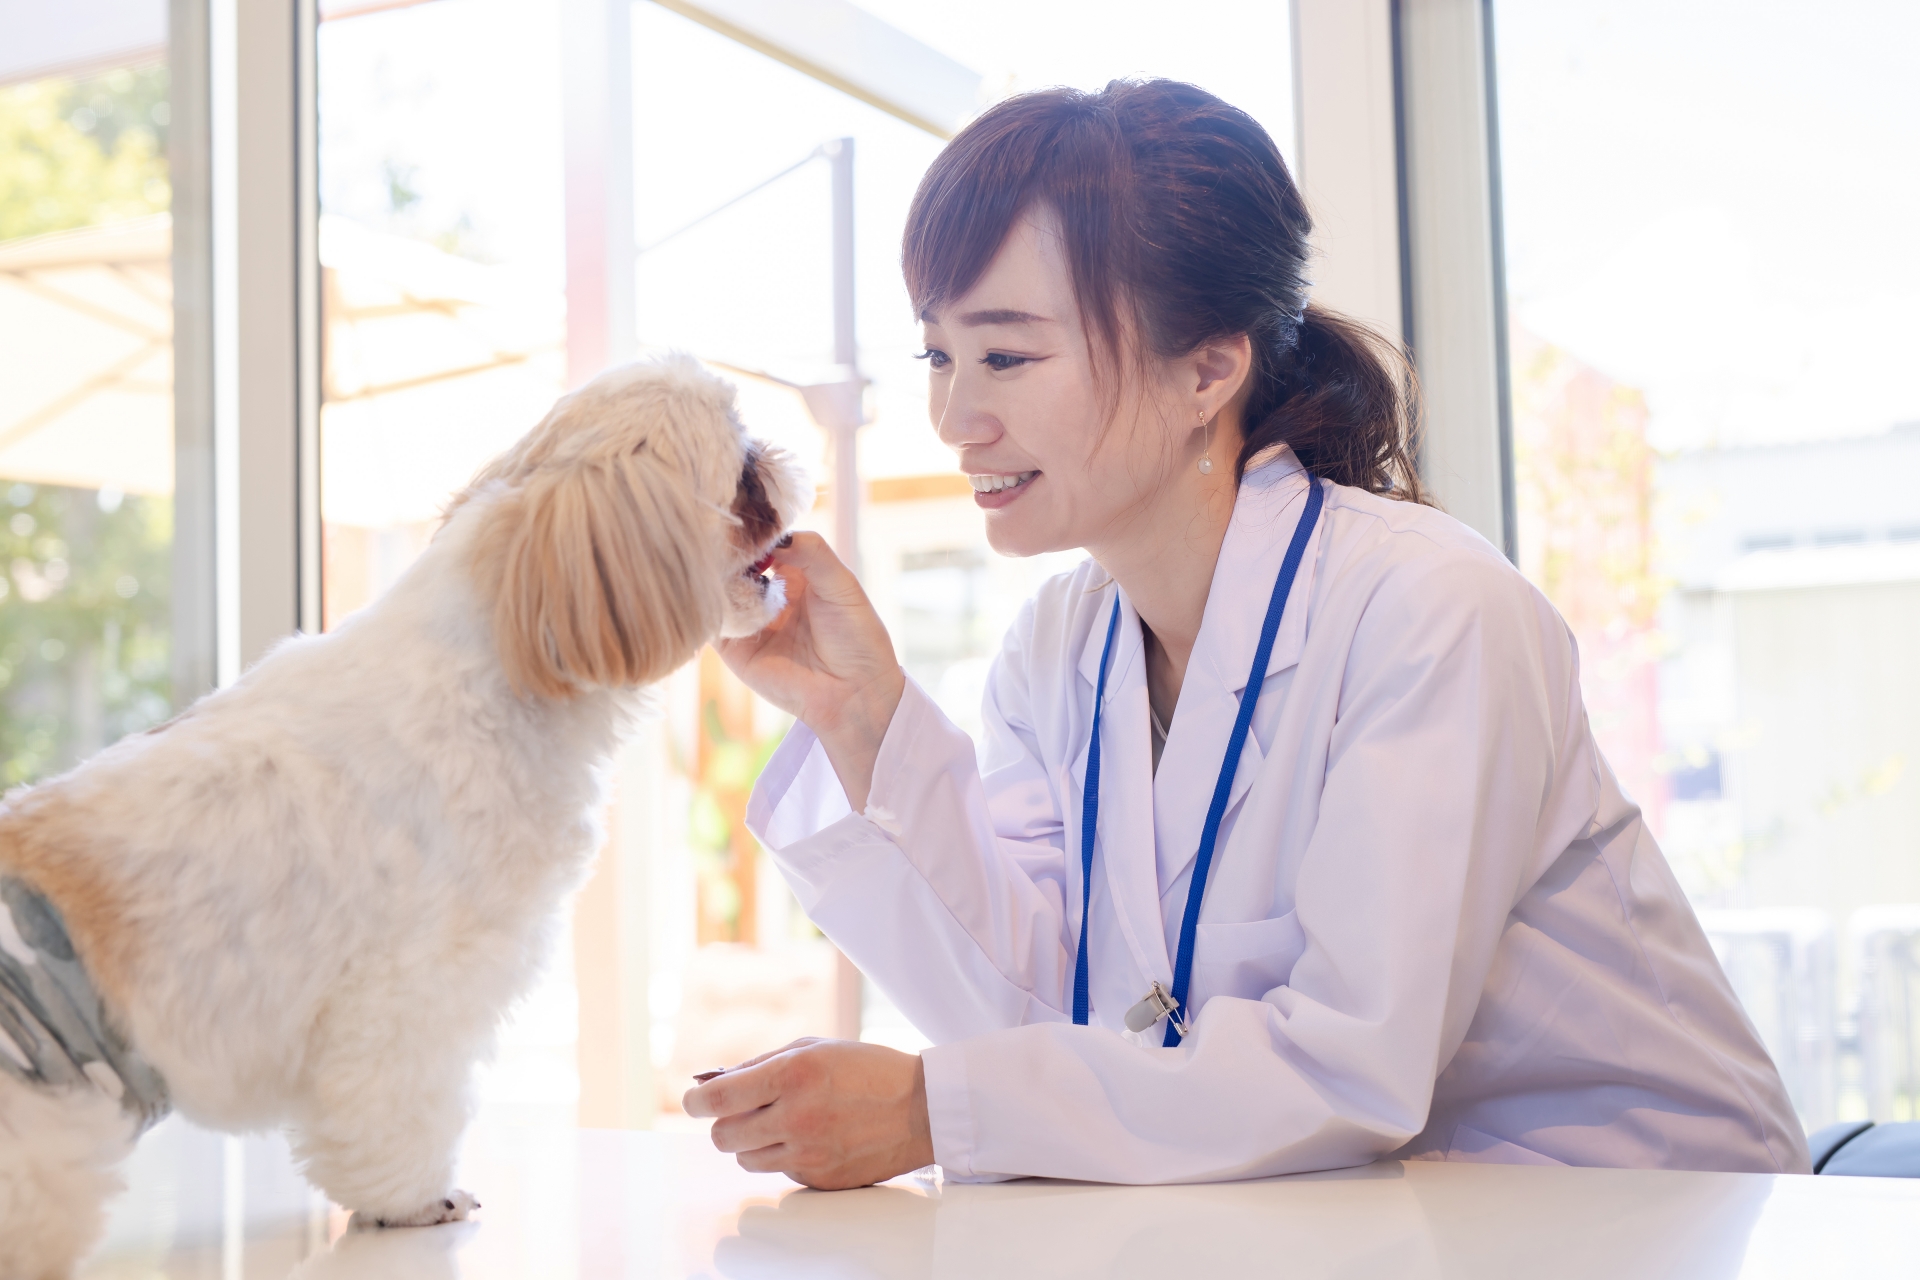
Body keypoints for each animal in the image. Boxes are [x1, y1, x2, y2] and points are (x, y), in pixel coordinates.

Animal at [0, 355, 806, 1274]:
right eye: (744, 468)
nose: (785, 460)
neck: (499, 660)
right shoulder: (413, 988)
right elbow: (398, 1106)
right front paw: (415, 1199)